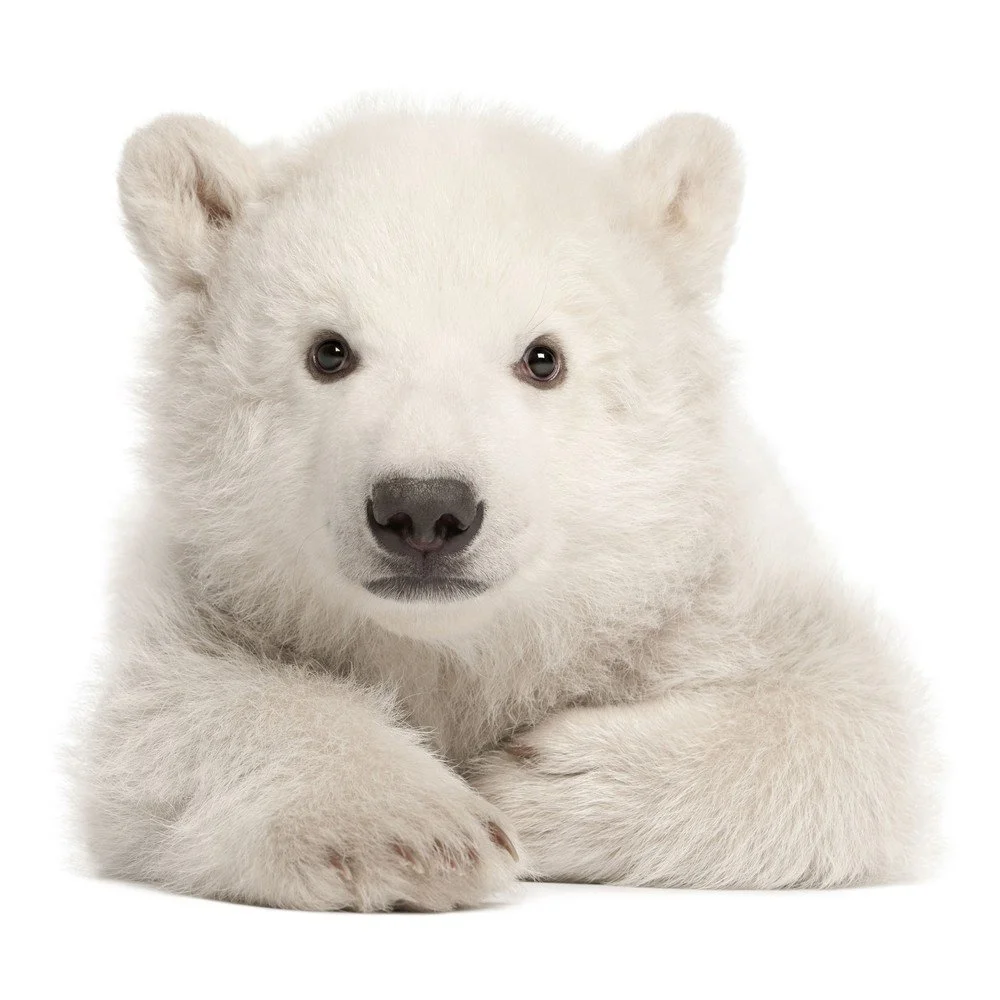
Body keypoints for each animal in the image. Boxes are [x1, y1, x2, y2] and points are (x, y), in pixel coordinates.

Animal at [73, 100, 932, 911]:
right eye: (328, 350)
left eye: (543, 358)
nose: (424, 509)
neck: (465, 652)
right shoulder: (206, 582)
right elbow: (163, 716)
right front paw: (416, 827)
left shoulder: (705, 577)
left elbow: (853, 711)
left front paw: (535, 783)